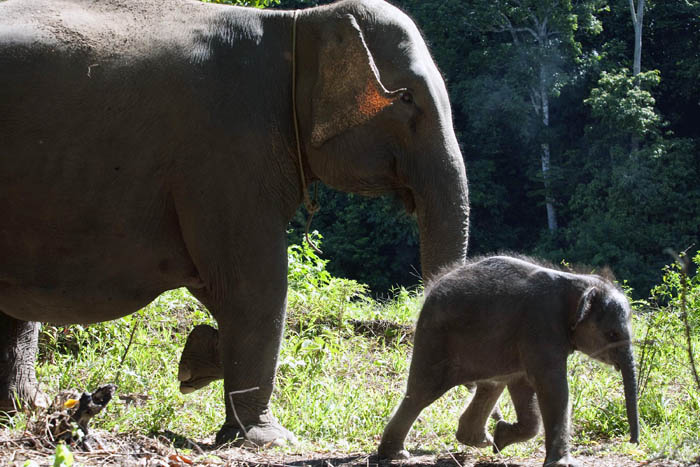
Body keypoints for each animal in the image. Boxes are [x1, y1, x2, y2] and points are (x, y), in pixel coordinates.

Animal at [1, 0, 470, 448]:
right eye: (407, 97)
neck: (298, 21)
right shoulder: (229, 150)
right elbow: (255, 286)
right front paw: (268, 439)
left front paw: (199, 357)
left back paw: (28, 408)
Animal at [380, 256, 636, 467]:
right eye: (612, 334)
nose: (633, 441)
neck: (578, 283)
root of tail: (434, 285)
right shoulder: (540, 326)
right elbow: (552, 387)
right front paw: (562, 464)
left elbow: (524, 384)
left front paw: (501, 438)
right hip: (436, 337)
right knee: (423, 392)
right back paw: (396, 454)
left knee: (492, 386)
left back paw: (480, 441)